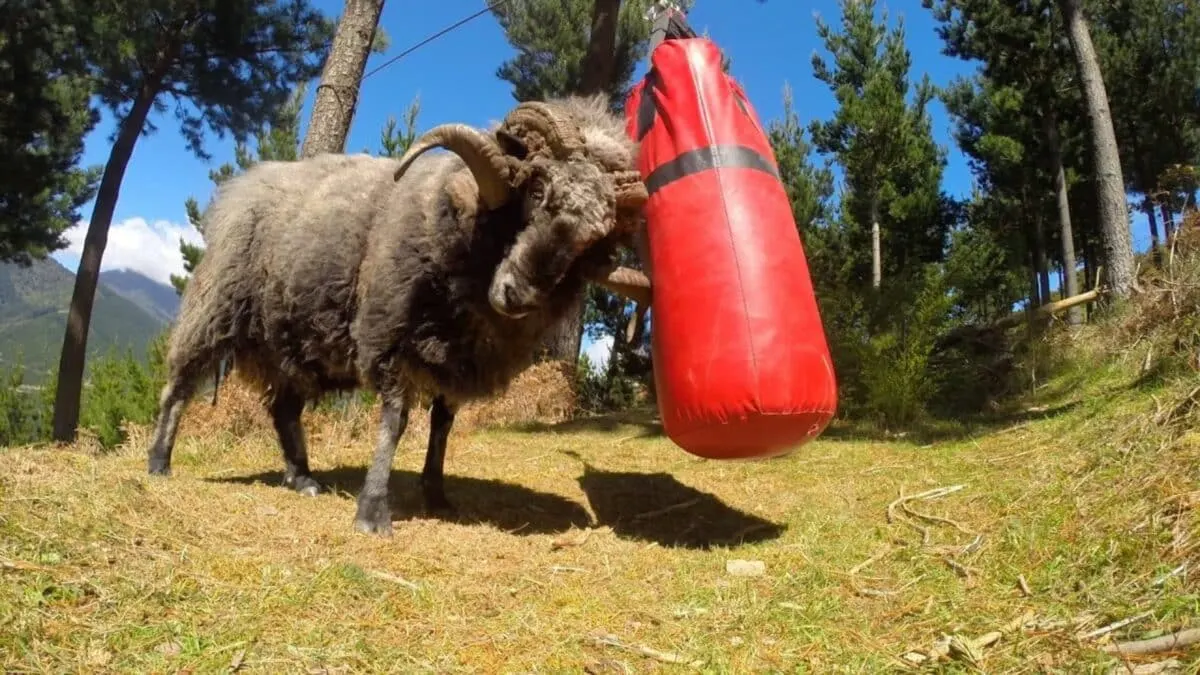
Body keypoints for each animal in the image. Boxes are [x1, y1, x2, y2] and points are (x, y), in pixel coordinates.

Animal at [150, 96, 657, 535]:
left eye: (594, 242)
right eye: (536, 187)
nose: (518, 296)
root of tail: (244, 184)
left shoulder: (459, 359)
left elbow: (442, 427)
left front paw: (436, 495)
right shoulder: (387, 333)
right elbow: (395, 421)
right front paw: (373, 511)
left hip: (296, 342)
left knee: (283, 409)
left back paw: (302, 478)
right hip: (215, 306)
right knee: (179, 386)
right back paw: (159, 463)